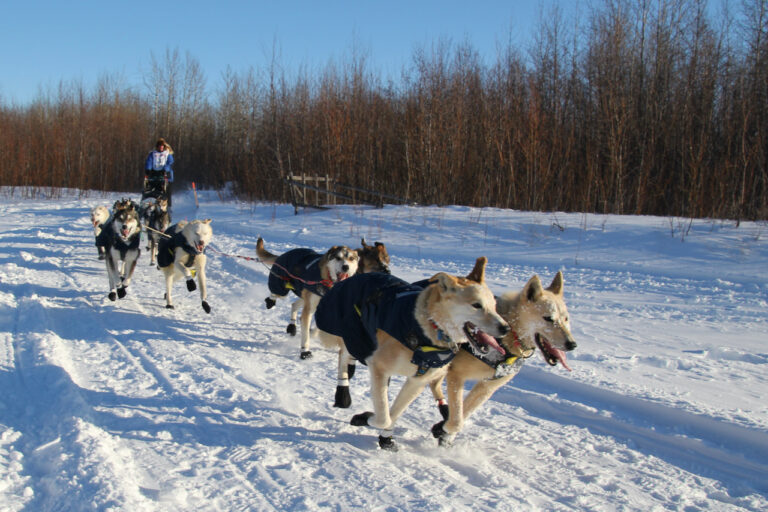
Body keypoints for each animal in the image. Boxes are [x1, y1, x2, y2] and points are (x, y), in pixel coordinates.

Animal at [316, 258, 508, 450]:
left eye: (494, 307)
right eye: (476, 305)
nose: (505, 328)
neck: (429, 328)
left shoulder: (416, 382)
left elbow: (392, 414)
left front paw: (384, 436)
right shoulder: (379, 366)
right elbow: (384, 418)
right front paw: (366, 418)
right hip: (355, 335)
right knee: (343, 356)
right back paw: (343, 391)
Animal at [426, 272, 576, 444]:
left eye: (566, 319)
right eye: (548, 318)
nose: (572, 344)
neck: (510, 336)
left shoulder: (487, 387)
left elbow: (463, 413)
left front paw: (444, 431)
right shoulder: (456, 375)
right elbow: (457, 420)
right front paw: (445, 428)